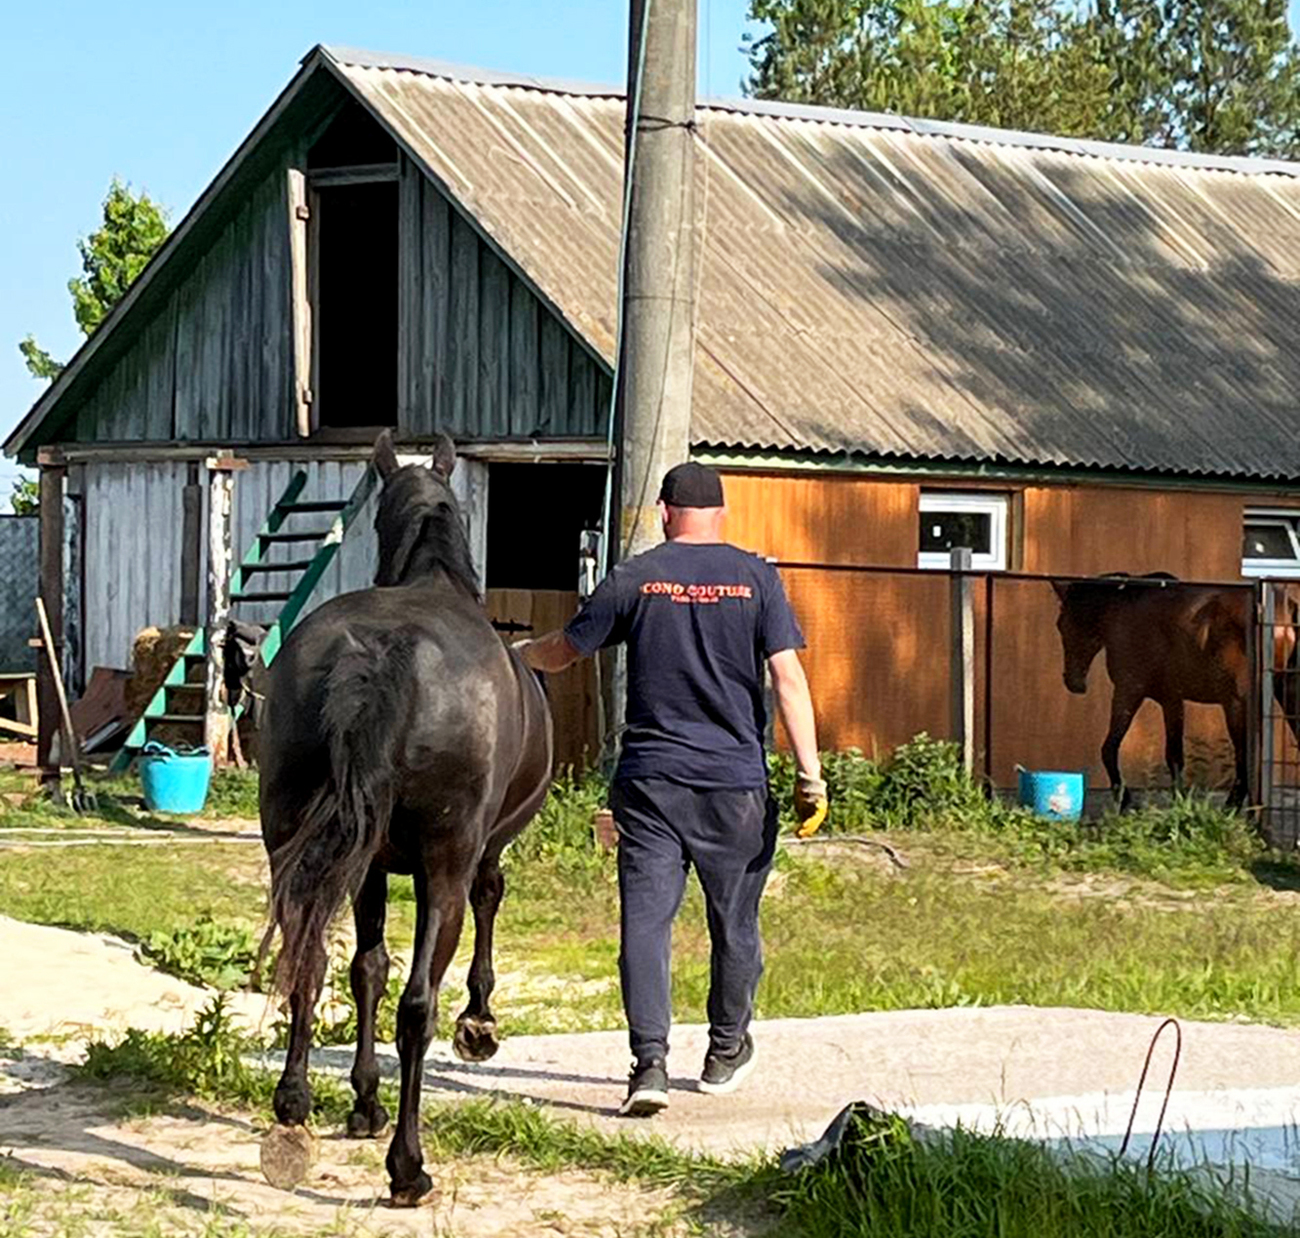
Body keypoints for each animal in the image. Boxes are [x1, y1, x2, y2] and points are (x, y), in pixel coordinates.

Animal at [261, 429, 551, 1201]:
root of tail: (380, 655)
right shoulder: (477, 854)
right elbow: (486, 904)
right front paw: (479, 1025)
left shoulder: (364, 867)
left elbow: (366, 967)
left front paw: (363, 1101)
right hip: (442, 866)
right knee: (418, 1004)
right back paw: (408, 1167)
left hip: (295, 845)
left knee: (308, 960)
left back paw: (293, 1108)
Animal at [1055, 574, 1258, 806]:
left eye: (1065, 624)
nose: (1073, 682)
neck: (1123, 610)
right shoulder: (1171, 699)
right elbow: (1174, 756)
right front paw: (1180, 803)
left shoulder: (1128, 691)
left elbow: (1109, 748)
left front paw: (1125, 800)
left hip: (1235, 704)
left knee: (1242, 757)